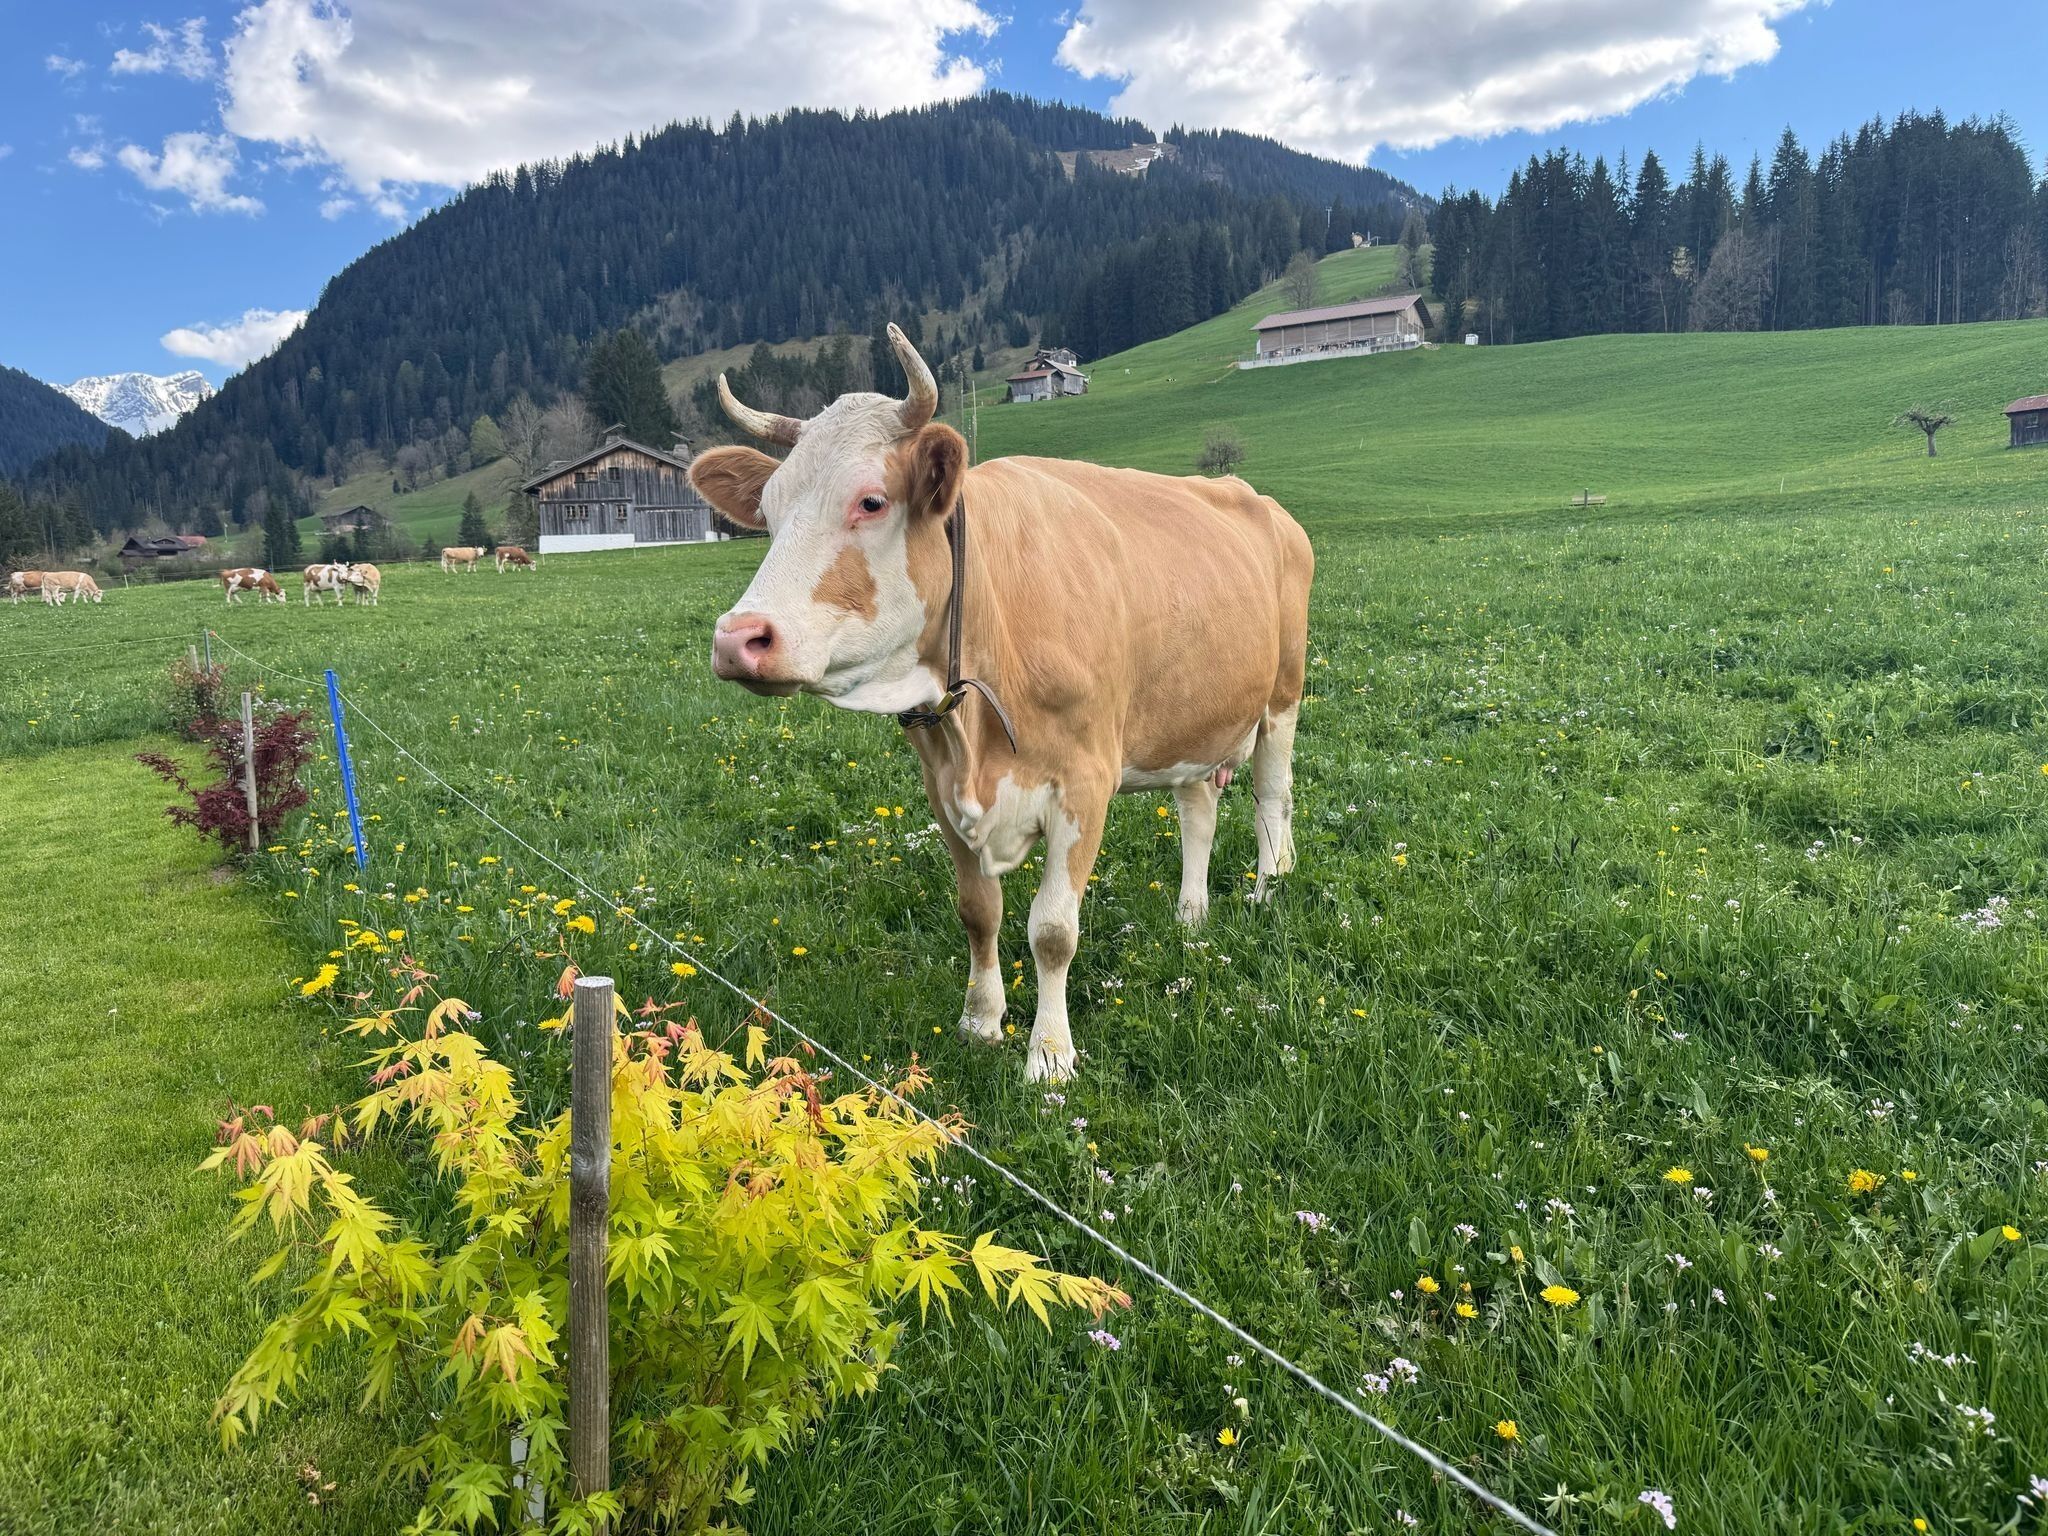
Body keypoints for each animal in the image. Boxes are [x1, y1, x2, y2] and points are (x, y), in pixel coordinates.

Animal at [691, 326, 1312, 1082]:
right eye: (771, 512)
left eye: (871, 501)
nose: (737, 638)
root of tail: (1255, 499)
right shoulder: (940, 786)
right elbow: (977, 910)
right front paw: (981, 1021)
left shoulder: (1085, 782)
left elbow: (1052, 930)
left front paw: (1049, 1055)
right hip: (1190, 721)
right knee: (1198, 808)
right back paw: (1191, 916)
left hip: (1281, 698)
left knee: (1272, 797)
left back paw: (1266, 891)